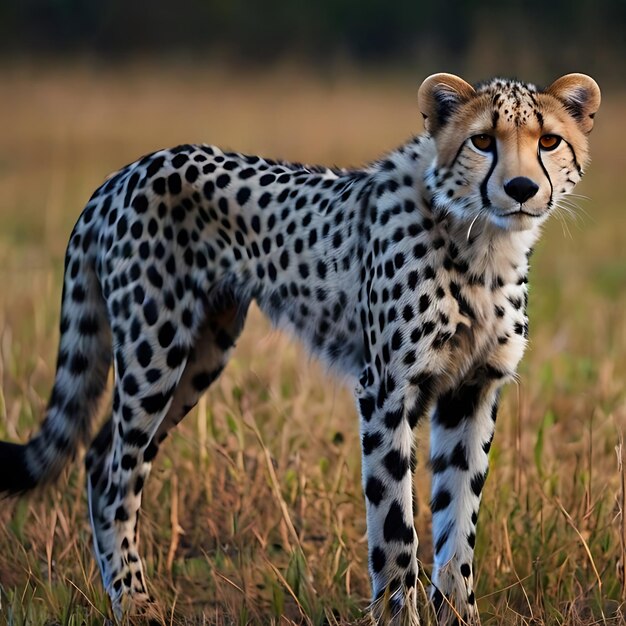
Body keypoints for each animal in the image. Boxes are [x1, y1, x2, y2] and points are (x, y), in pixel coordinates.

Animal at [0, 72, 596, 620]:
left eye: (548, 140)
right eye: (482, 140)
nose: (520, 189)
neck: (483, 243)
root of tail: (125, 171)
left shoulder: (471, 392)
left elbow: (458, 526)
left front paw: (458, 614)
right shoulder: (386, 392)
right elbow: (395, 528)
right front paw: (398, 615)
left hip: (201, 355)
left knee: (101, 451)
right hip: (156, 351)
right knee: (114, 470)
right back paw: (133, 601)